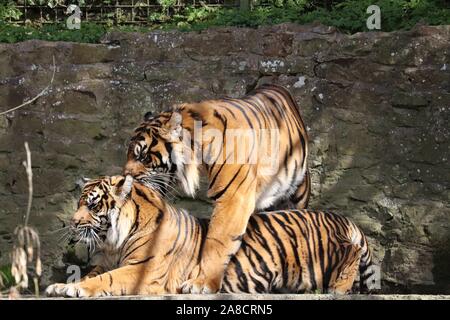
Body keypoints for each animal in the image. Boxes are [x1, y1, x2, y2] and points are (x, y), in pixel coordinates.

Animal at [45, 176, 376, 296]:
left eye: (92, 204)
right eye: (79, 203)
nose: (71, 222)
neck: (114, 243)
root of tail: (346, 219)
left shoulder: (143, 269)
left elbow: (105, 280)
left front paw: (72, 289)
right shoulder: (106, 262)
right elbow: (91, 273)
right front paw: (64, 284)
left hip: (329, 249)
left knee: (350, 255)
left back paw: (338, 287)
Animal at [123, 84, 312, 292]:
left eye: (142, 156)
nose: (125, 176)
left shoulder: (233, 197)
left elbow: (217, 241)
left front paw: (201, 282)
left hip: (299, 189)